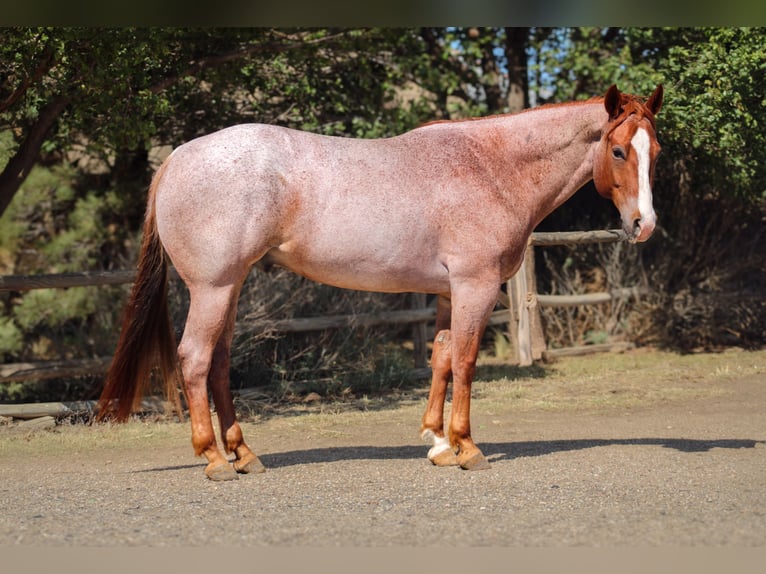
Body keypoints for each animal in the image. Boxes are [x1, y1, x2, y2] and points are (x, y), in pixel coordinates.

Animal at [97, 84, 663, 480]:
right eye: (618, 151)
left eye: (655, 150)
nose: (644, 225)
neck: (490, 166)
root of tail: (176, 159)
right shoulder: (476, 287)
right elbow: (466, 361)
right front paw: (467, 448)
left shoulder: (447, 292)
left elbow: (441, 357)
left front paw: (438, 443)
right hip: (213, 289)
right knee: (194, 359)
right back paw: (214, 459)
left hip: (230, 290)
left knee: (217, 364)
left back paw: (243, 454)